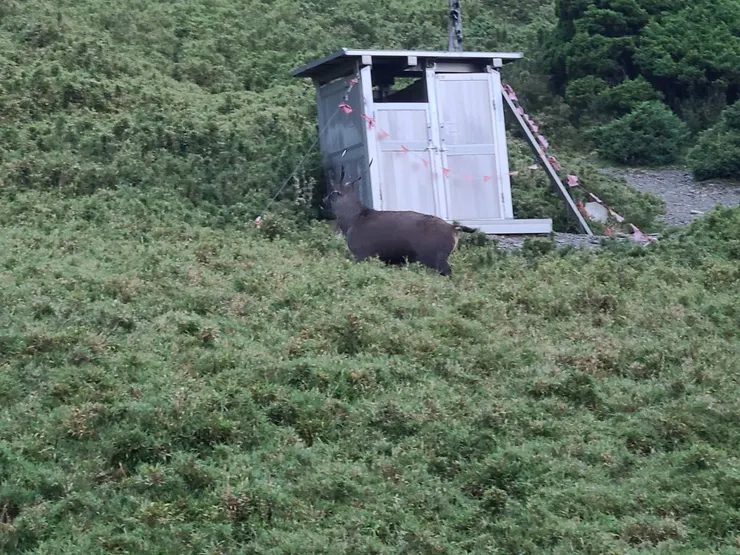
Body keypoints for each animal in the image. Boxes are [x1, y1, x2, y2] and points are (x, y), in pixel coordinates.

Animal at [323, 165, 478, 277]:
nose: (323, 201)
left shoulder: (362, 254)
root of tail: (454, 229)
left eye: (333, 192)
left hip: (437, 257)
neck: (352, 221)